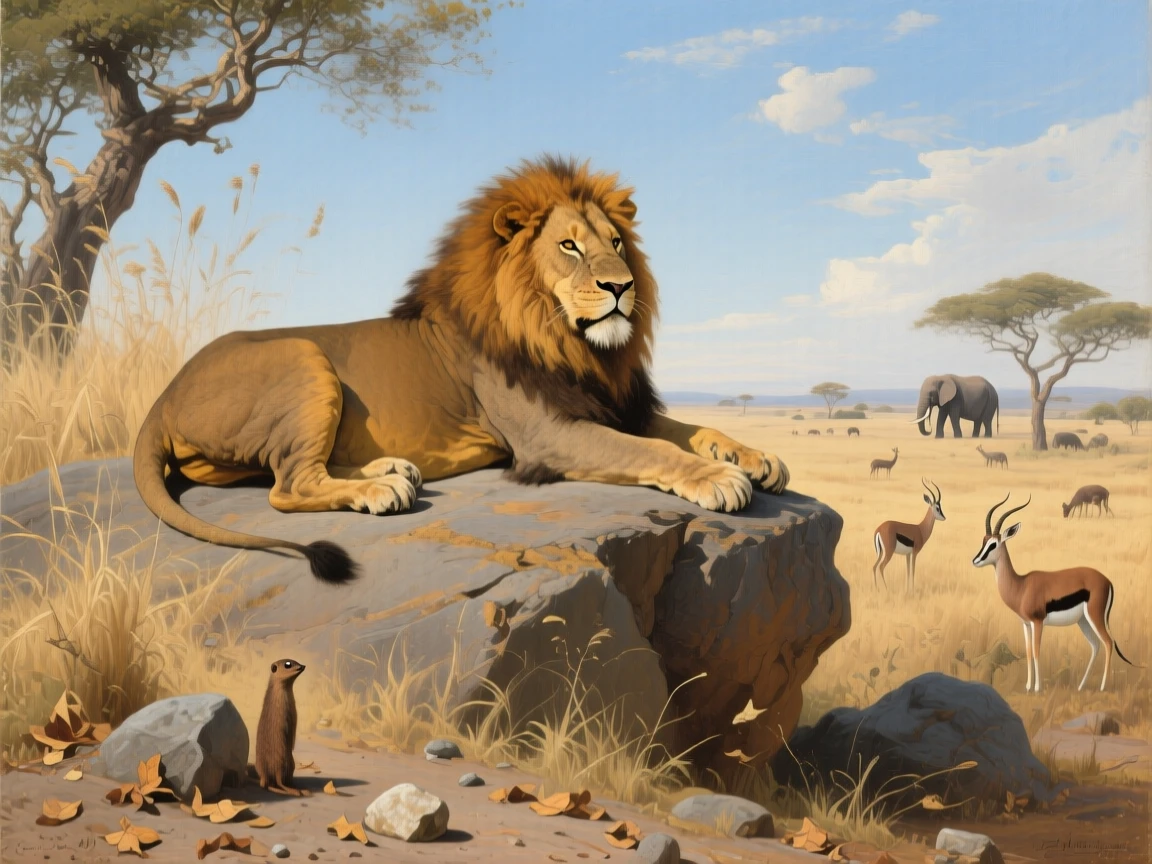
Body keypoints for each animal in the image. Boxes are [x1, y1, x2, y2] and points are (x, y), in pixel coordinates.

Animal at [133, 156, 790, 583]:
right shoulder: (546, 436)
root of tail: (162, 394)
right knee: (287, 487)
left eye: (617, 243)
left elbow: (692, 430)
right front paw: (718, 478)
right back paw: (381, 489)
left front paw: (755, 457)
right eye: (569, 246)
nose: (621, 287)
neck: (576, 346)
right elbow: (652, 450)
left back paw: (391, 469)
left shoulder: (616, 404)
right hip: (303, 356)